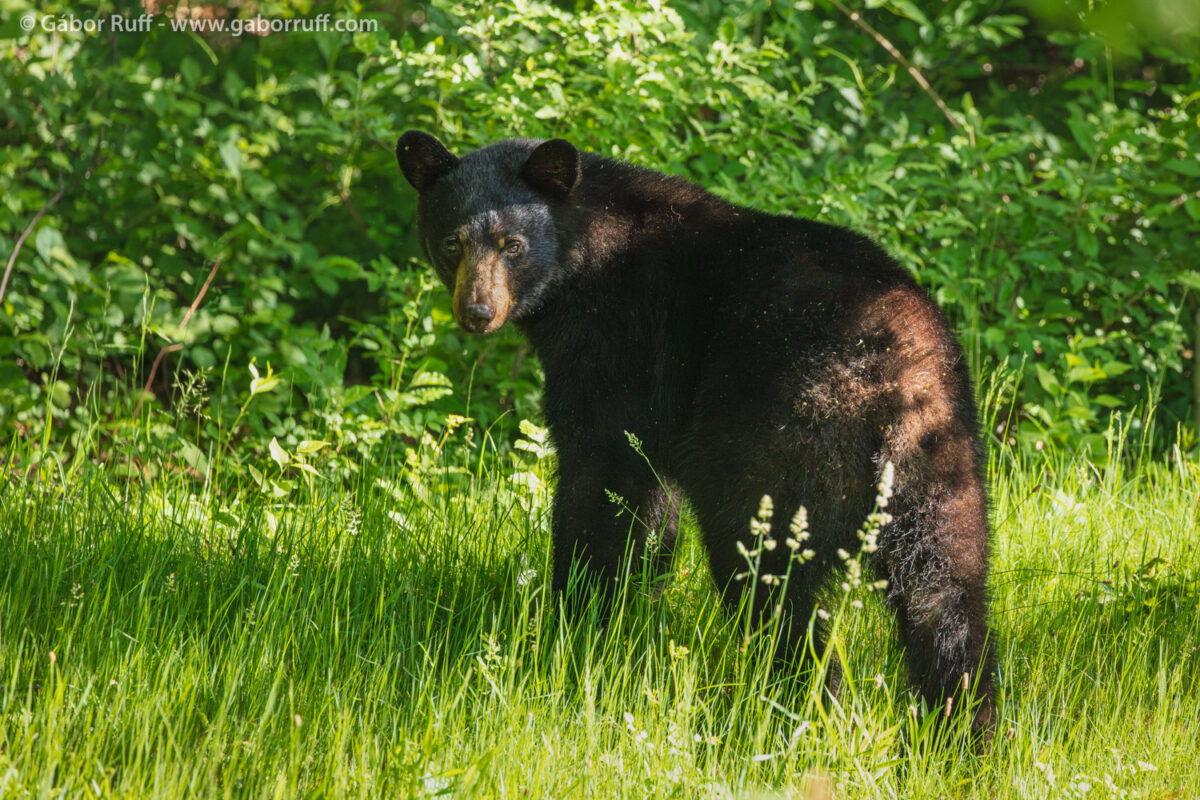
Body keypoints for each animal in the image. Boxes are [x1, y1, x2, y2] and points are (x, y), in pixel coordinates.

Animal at [396, 130, 997, 736]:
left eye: (512, 245)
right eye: (452, 242)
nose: (477, 311)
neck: (583, 258)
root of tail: (897, 382)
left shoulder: (622, 343)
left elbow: (602, 482)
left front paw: (572, 617)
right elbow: (650, 512)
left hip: (783, 438)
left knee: (765, 575)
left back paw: (796, 711)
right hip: (945, 470)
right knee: (948, 602)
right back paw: (964, 728)